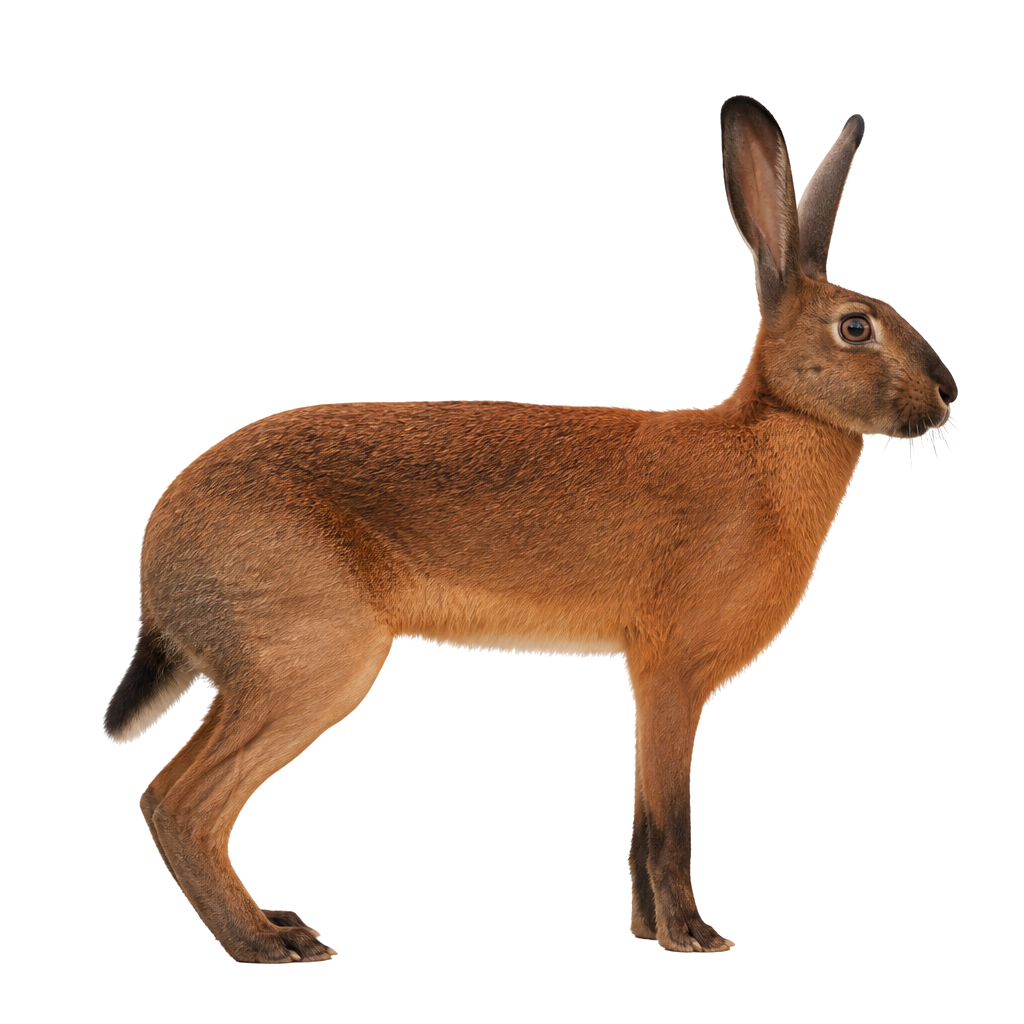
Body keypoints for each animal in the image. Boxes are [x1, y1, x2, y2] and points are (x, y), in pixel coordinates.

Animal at [105, 96, 957, 962]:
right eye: (857, 328)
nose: (949, 392)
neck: (770, 429)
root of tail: (155, 568)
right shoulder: (670, 674)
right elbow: (670, 824)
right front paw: (693, 938)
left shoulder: (651, 681)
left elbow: (641, 825)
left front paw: (646, 933)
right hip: (315, 659)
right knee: (182, 804)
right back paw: (267, 944)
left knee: (167, 798)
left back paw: (276, 924)